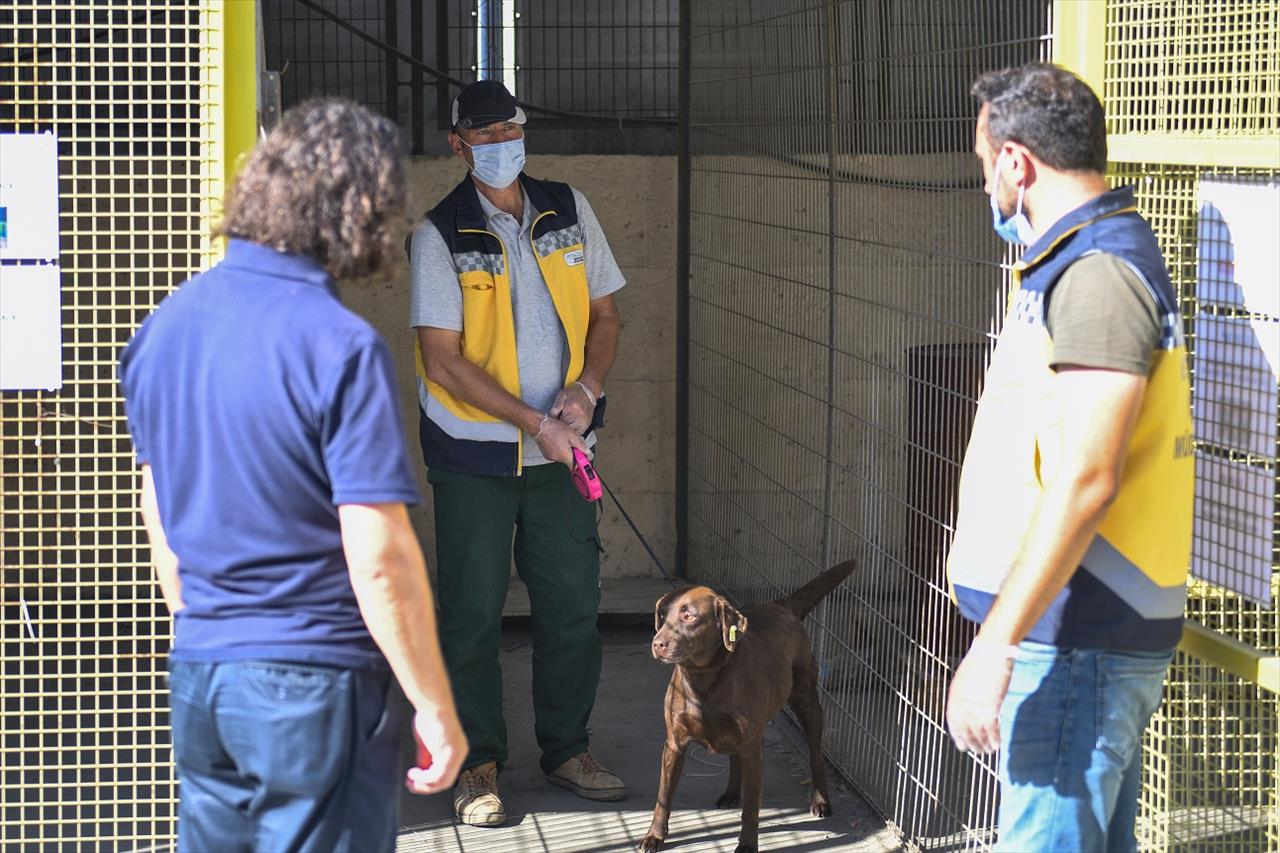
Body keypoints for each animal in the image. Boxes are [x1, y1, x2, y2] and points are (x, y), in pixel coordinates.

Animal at [640, 558, 860, 850]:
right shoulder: (674, 743)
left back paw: (820, 799)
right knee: (735, 756)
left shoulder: (754, 750)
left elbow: (752, 809)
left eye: (689, 616)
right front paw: (654, 836)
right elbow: (663, 797)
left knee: (815, 752)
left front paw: (746, 845)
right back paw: (732, 792)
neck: (704, 679)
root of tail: (781, 604)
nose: (657, 644)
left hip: (806, 700)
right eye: (662, 617)